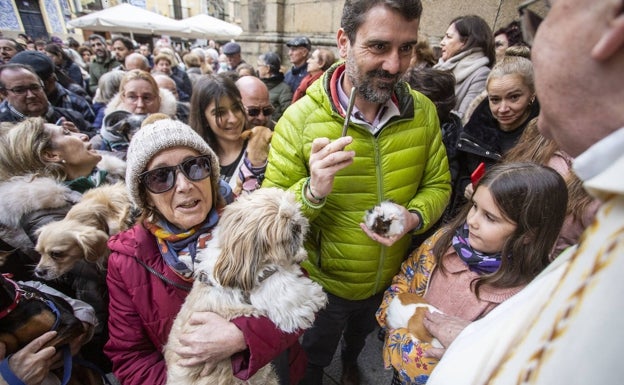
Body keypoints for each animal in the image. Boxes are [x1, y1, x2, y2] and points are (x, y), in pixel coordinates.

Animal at [163, 187, 330, 384]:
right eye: (284, 235)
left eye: (295, 215)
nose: (297, 225)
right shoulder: (271, 289)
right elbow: (293, 292)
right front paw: (317, 295)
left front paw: (299, 255)